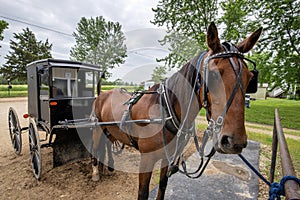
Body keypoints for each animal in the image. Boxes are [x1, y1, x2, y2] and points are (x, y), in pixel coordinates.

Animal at [90, 21, 262, 199]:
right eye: (213, 75)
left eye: (250, 78)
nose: (234, 141)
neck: (165, 112)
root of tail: (102, 94)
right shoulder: (147, 159)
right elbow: (143, 192)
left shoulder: (168, 158)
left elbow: (163, 185)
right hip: (97, 128)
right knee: (95, 148)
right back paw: (96, 172)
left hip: (110, 130)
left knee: (107, 144)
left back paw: (108, 166)